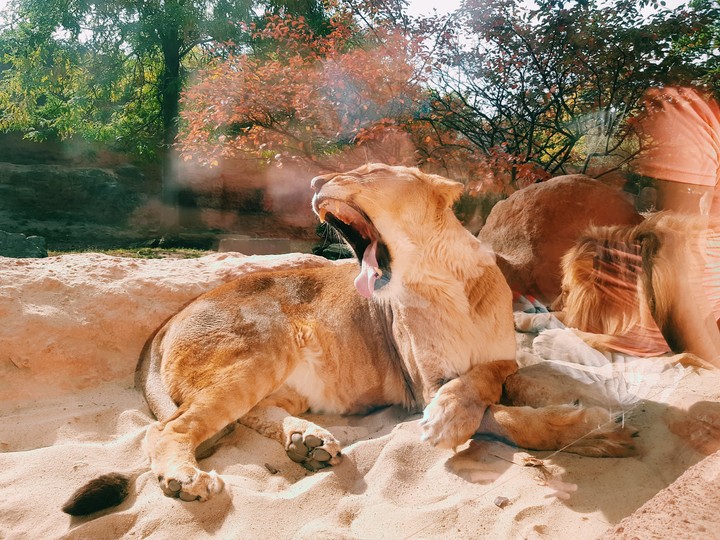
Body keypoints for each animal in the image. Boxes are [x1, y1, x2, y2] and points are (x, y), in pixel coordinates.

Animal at [63, 164, 636, 516]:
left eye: (366, 172)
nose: (317, 178)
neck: (442, 277)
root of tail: (172, 316)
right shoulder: (425, 384)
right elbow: (500, 417)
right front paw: (595, 430)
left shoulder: (502, 359)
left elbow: (498, 379)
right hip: (263, 345)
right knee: (173, 427)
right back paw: (187, 478)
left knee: (249, 414)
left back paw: (307, 442)